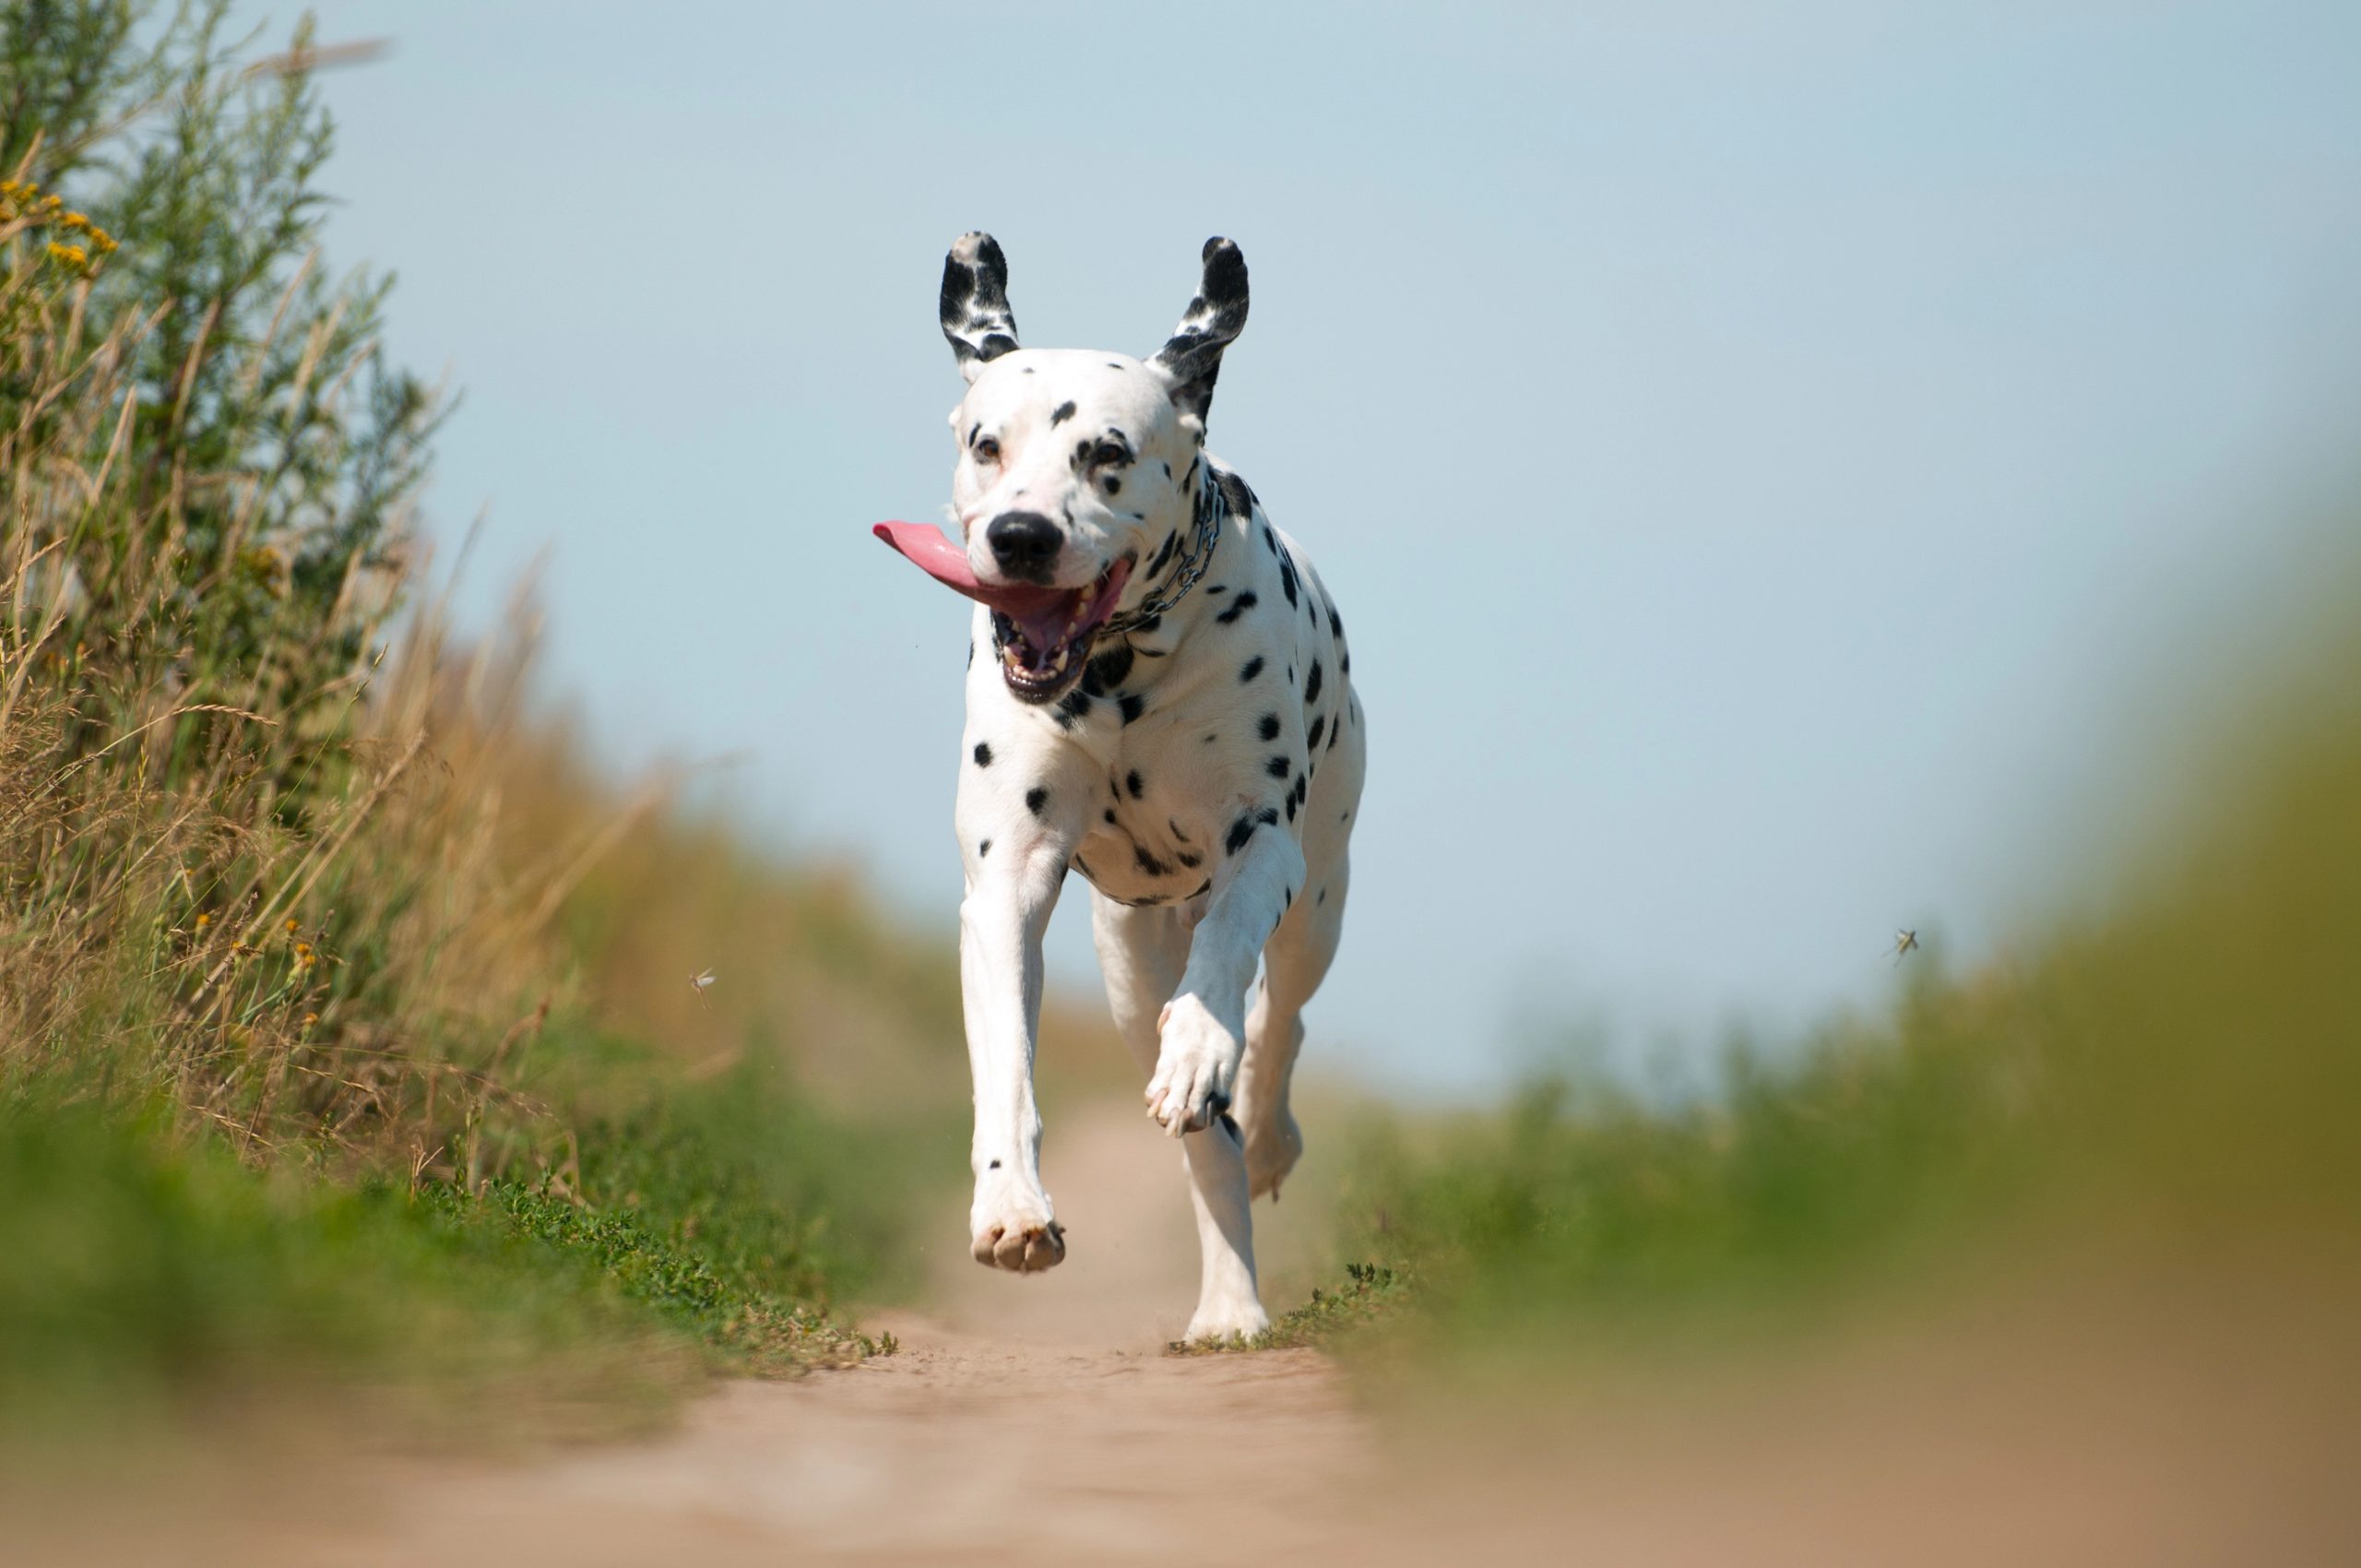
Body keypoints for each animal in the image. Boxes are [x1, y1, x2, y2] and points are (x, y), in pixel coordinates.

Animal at [883, 236, 1369, 1350]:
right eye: (987, 445)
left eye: (1106, 453)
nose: (1020, 536)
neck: (1115, 672)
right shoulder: (1006, 883)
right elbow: (1007, 1065)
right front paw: (1011, 1204)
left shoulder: (1261, 846)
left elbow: (1226, 963)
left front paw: (1198, 1051)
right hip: (1125, 969)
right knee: (1206, 1154)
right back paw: (1228, 1298)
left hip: (1320, 901)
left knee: (1277, 1024)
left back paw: (1257, 1136)